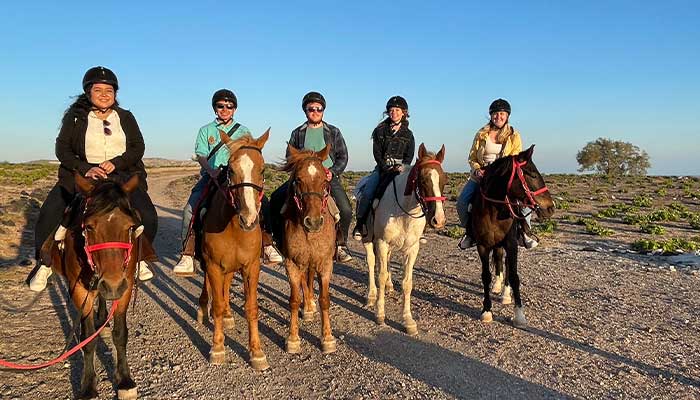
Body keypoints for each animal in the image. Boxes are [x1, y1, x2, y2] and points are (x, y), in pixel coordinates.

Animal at [40, 175, 145, 400]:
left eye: (130, 227)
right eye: (88, 227)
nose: (112, 284)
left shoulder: (125, 286)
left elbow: (120, 334)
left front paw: (125, 381)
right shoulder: (81, 291)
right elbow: (87, 339)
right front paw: (88, 386)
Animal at [198, 130, 272, 370]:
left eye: (263, 169)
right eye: (230, 170)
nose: (248, 219)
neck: (233, 228)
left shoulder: (251, 267)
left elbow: (251, 307)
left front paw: (257, 352)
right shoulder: (213, 264)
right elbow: (217, 304)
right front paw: (217, 348)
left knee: (226, 286)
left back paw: (229, 315)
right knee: (210, 288)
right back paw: (202, 309)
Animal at [278, 143, 338, 354]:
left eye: (324, 180)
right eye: (298, 179)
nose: (313, 222)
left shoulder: (326, 264)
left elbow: (325, 299)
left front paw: (327, 338)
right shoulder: (292, 264)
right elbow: (294, 300)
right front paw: (293, 339)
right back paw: (308, 307)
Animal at [360, 143, 448, 334]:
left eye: (444, 180)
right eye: (423, 180)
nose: (438, 220)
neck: (404, 211)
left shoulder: (412, 248)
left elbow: (407, 283)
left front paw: (408, 320)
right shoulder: (381, 242)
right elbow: (380, 274)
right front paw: (380, 313)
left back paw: (389, 286)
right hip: (368, 239)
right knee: (371, 263)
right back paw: (371, 295)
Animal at [474, 146, 556, 328]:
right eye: (532, 174)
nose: (551, 208)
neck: (494, 211)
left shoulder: (511, 244)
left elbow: (514, 276)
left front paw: (519, 315)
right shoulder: (482, 246)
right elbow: (486, 276)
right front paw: (486, 310)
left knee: (505, 264)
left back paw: (505, 294)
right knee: (498, 260)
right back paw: (498, 287)